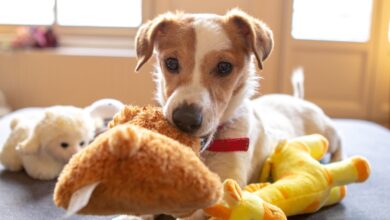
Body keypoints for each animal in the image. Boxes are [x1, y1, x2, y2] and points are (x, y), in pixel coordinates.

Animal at [133, 8, 342, 218]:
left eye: (224, 67)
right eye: (171, 63)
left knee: (338, 141)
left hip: (327, 133)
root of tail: (297, 99)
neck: (208, 151)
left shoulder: (228, 182)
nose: (185, 119)